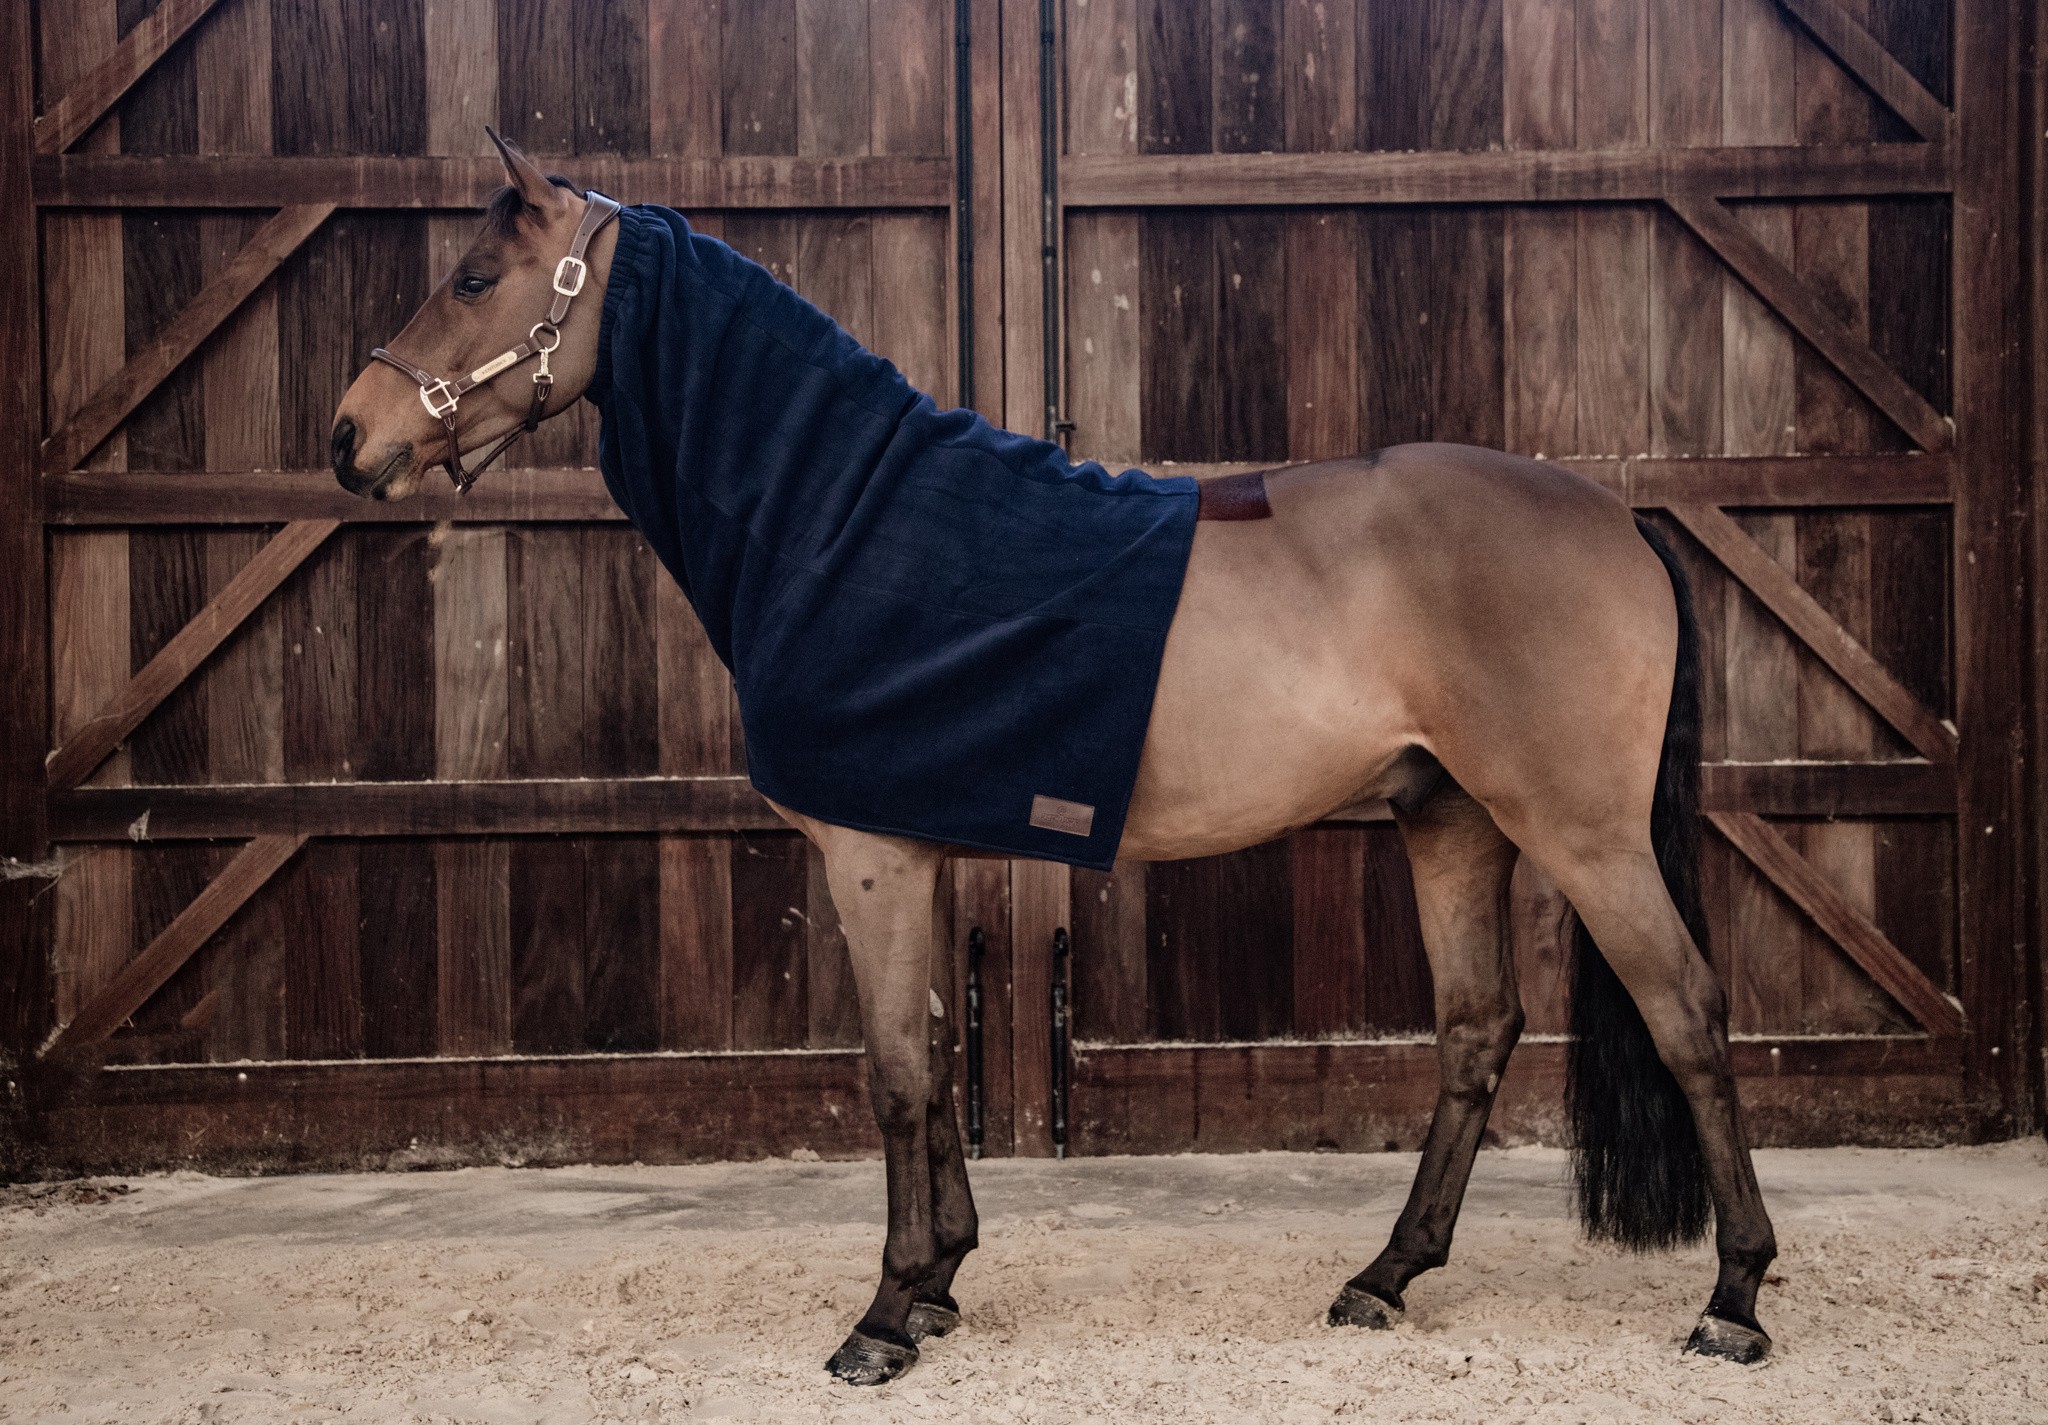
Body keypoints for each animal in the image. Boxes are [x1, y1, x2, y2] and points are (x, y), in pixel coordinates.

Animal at [329, 133, 1778, 1385]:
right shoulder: (915, 849)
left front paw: (881, 1318)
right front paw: (941, 1283)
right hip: (1452, 821)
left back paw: (1733, 1299)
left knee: (1687, 1016)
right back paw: (1384, 1276)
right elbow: (935, 1058)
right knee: (1477, 1030)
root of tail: (1617, 513)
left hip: (1581, 833)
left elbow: (893, 1077)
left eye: (473, 279)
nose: (349, 438)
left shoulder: (869, 857)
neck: (848, 521)